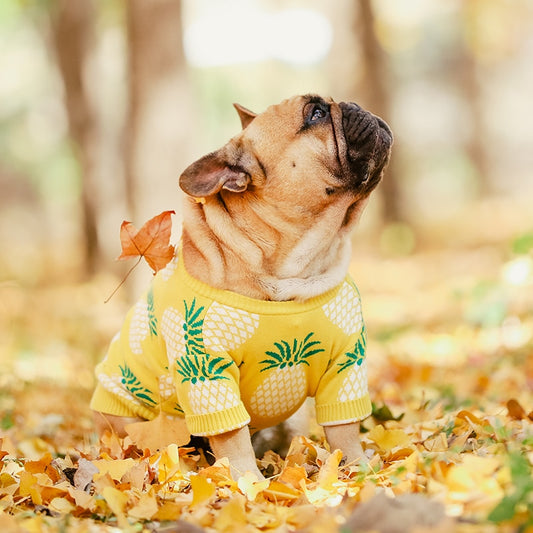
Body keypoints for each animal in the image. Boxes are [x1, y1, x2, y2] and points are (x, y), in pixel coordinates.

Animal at [90, 93, 390, 480]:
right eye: (315, 114)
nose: (354, 104)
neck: (295, 268)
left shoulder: (347, 362)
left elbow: (345, 427)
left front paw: (358, 469)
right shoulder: (204, 366)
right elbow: (232, 436)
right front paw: (249, 482)